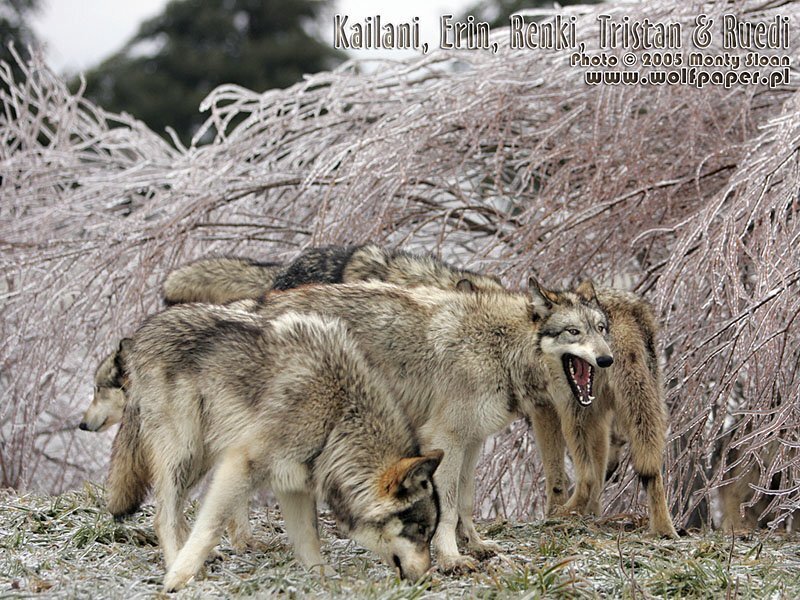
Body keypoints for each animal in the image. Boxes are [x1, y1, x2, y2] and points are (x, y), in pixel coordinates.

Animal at [108, 305, 442, 589]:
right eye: (421, 531)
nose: (428, 581)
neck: (338, 418)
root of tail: (143, 331)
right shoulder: (240, 464)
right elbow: (211, 526)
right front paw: (177, 578)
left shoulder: (295, 484)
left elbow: (309, 539)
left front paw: (323, 581)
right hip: (184, 452)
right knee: (163, 516)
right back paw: (177, 564)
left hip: (199, 460)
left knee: (176, 509)